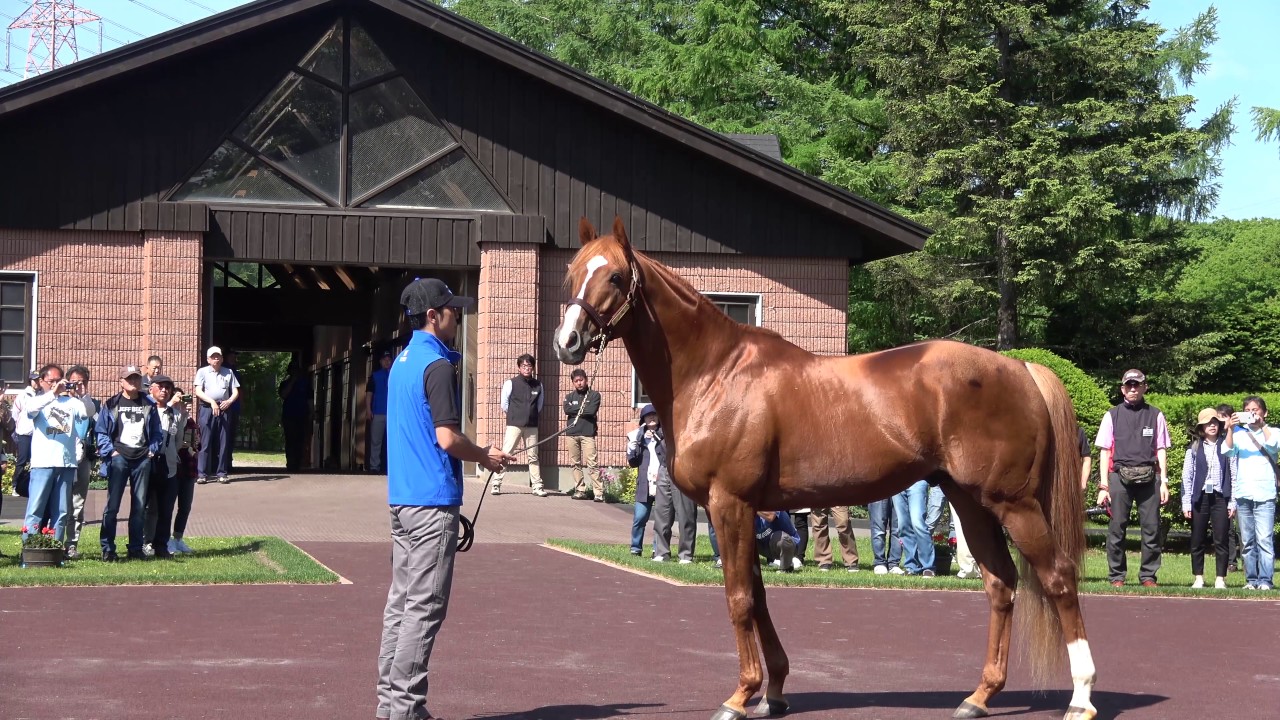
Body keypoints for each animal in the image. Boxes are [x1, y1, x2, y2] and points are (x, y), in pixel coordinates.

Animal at [553, 217, 1096, 720]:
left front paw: (741, 695)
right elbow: (758, 596)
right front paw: (773, 693)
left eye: (616, 276)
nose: (568, 341)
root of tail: (1022, 368)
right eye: (572, 272)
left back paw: (1081, 698)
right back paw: (979, 697)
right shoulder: (748, 511)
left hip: (1014, 504)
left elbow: (739, 599)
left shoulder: (729, 504)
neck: (715, 372)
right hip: (971, 502)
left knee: (1058, 578)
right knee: (1001, 584)